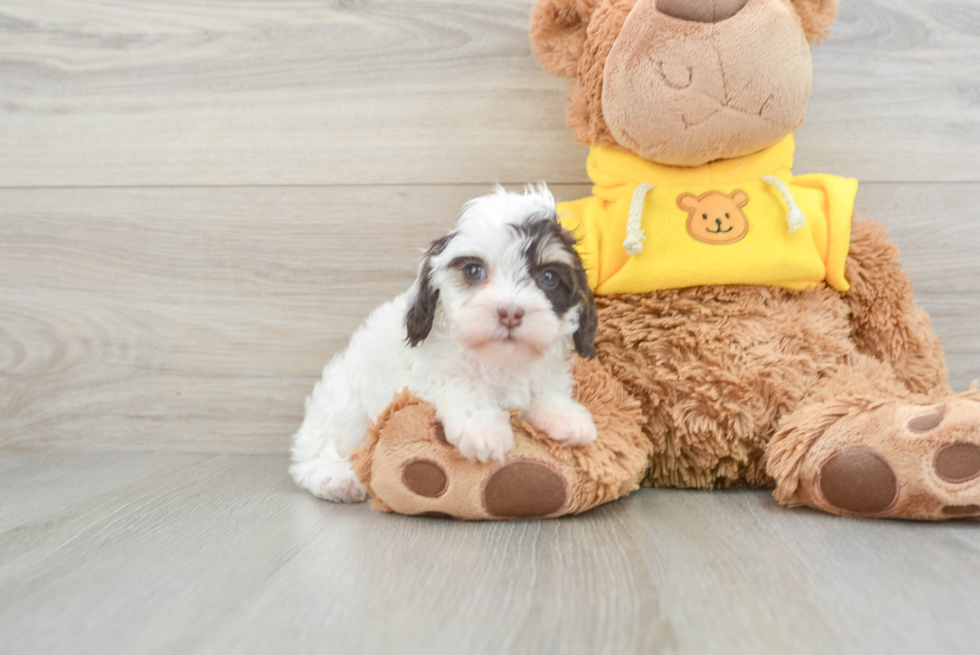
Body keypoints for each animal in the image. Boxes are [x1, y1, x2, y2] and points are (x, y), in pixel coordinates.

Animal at [290, 184, 596, 502]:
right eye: (474, 271)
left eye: (548, 277)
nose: (510, 313)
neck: (497, 359)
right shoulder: (422, 376)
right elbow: (461, 386)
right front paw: (484, 428)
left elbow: (544, 389)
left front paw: (566, 416)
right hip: (345, 403)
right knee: (315, 450)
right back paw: (334, 477)